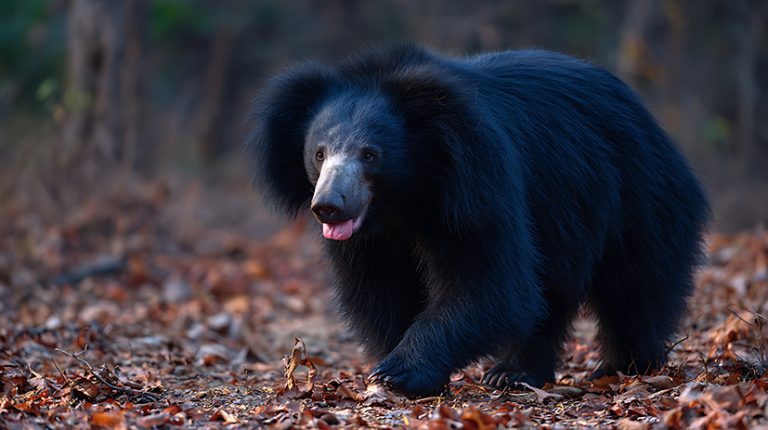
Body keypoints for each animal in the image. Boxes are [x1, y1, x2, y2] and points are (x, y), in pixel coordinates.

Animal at [246, 44, 710, 398]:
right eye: (319, 153)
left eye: (370, 155)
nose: (329, 205)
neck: (408, 196)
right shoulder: (372, 236)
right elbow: (378, 287)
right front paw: (394, 366)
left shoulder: (478, 185)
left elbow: (487, 280)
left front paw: (398, 372)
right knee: (550, 296)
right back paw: (515, 374)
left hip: (636, 194)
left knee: (635, 283)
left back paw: (624, 366)